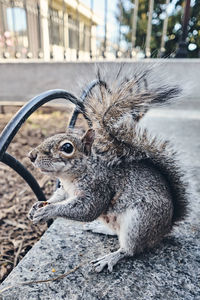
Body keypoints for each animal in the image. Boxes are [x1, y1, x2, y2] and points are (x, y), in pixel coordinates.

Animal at [28, 65, 189, 272]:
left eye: (67, 148)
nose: (31, 155)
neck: (71, 178)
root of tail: (165, 228)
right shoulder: (66, 191)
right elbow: (59, 197)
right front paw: (38, 206)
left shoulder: (99, 188)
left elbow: (87, 209)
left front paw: (48, 211)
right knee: (116, 233)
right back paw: (100, 228)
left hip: (139, 223)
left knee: (130, 249)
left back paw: (111, 258)